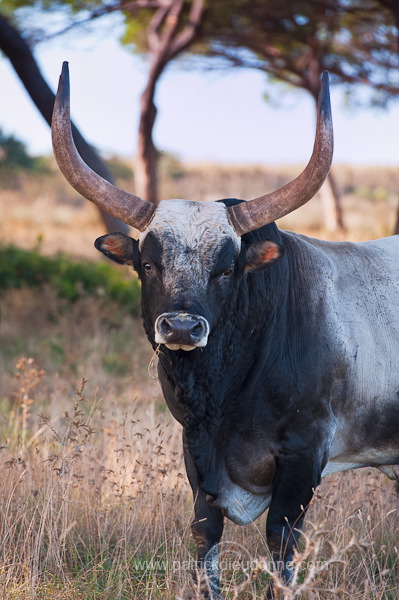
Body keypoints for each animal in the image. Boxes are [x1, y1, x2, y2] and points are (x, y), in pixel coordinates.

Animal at [51, 63, 399, 596]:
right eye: (148, 264)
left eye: (226, 270)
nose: (181, 326)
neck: (226, 391)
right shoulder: (195, 451)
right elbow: (205, 533)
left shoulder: (303, 456)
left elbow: (281, 541)